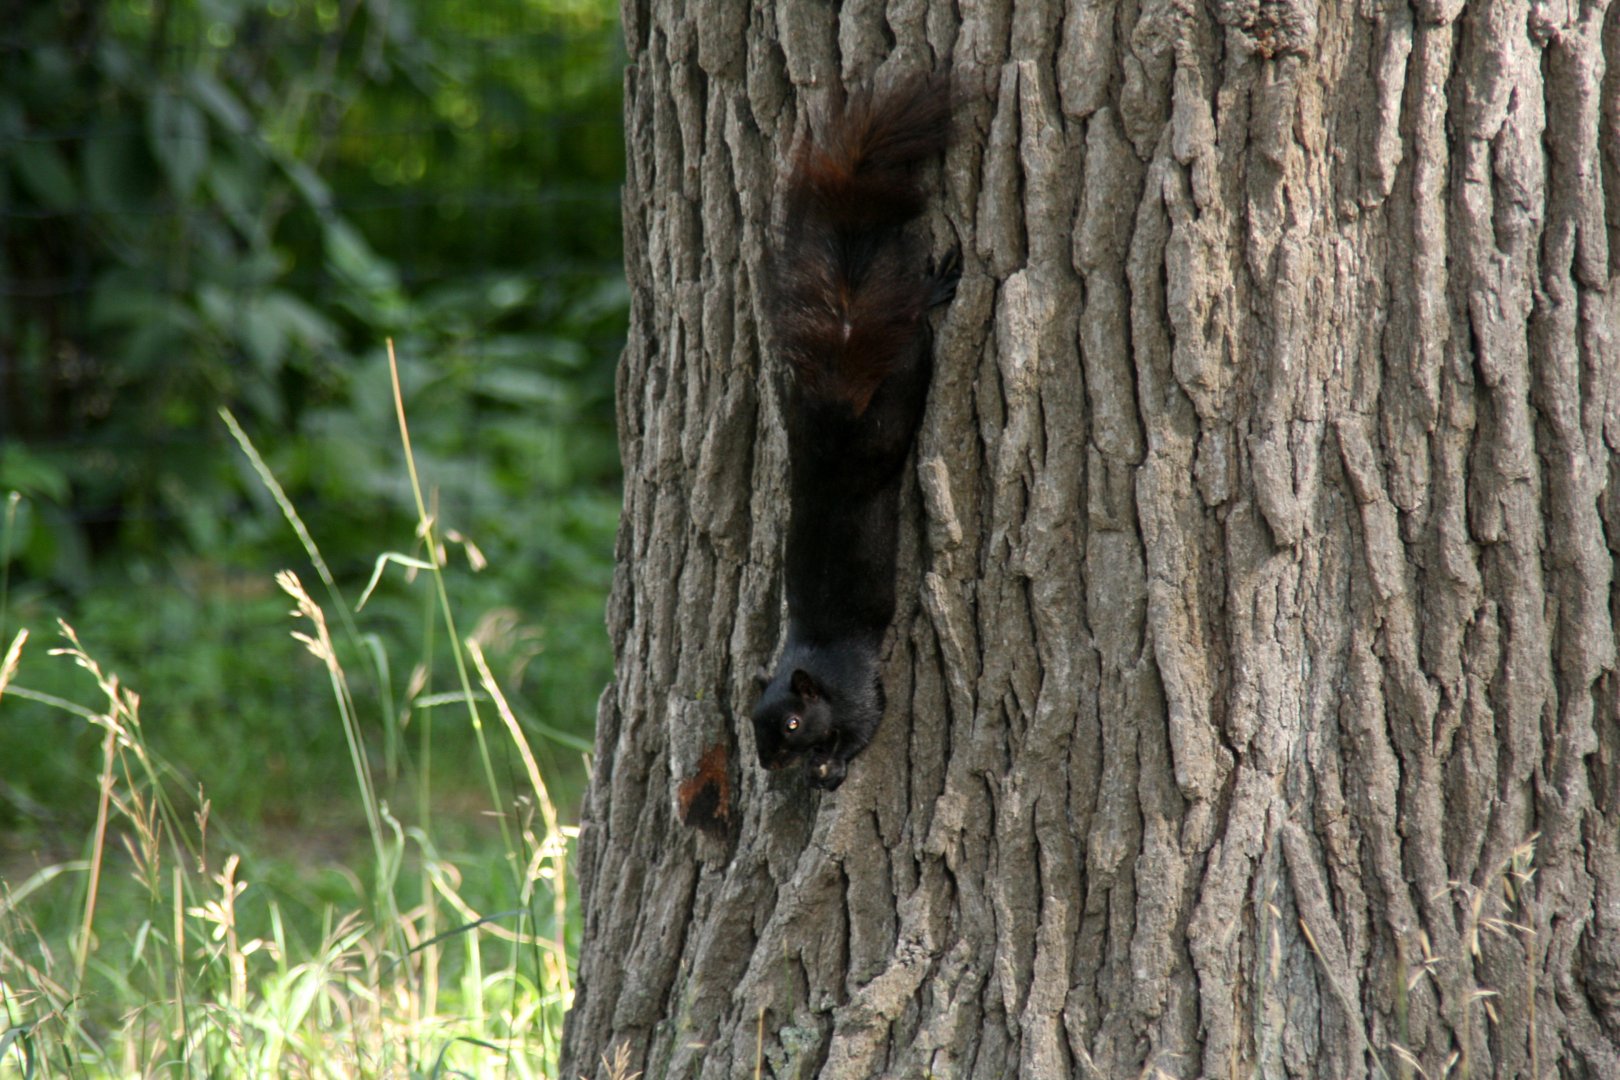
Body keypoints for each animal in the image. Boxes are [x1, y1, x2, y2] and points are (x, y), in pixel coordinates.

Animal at [751, 76, 957, 791]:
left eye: (790, 723)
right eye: (751, 724)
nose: (768, 762)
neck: (812, 660)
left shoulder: (862, 688)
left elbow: (866, 726)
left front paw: (830, 765)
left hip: (895, 406)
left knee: (914, 345)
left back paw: (931, 293)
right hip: (801, 415)